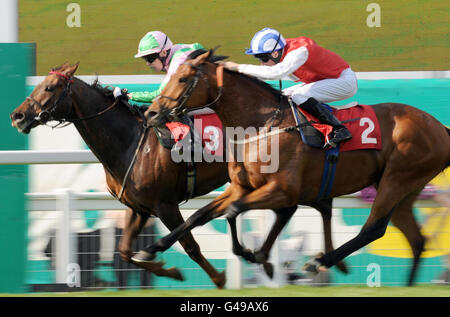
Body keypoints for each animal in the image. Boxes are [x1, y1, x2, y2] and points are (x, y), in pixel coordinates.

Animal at [9, 61, 348, 286]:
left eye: (50, 87)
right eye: (38, 85)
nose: (18, 115)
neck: (130, 140)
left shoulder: (165, 205)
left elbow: (190, 245)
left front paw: (219, 277)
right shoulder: (139, 208)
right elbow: (125, 251)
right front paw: (167, 269)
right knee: (292, 207)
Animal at [141, 50, 450, 286]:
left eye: (182, 79)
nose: (152, 112)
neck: (261, 124)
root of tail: (440, 127)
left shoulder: (283, 190)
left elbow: (234, 211)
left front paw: (253, 254)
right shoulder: (242, 187)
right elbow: (200, 215)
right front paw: (150, 249)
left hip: (397, 179)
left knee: (373, 229)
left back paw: (319, 262)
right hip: (404, 189)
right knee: (416, 239)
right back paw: (407, 285)